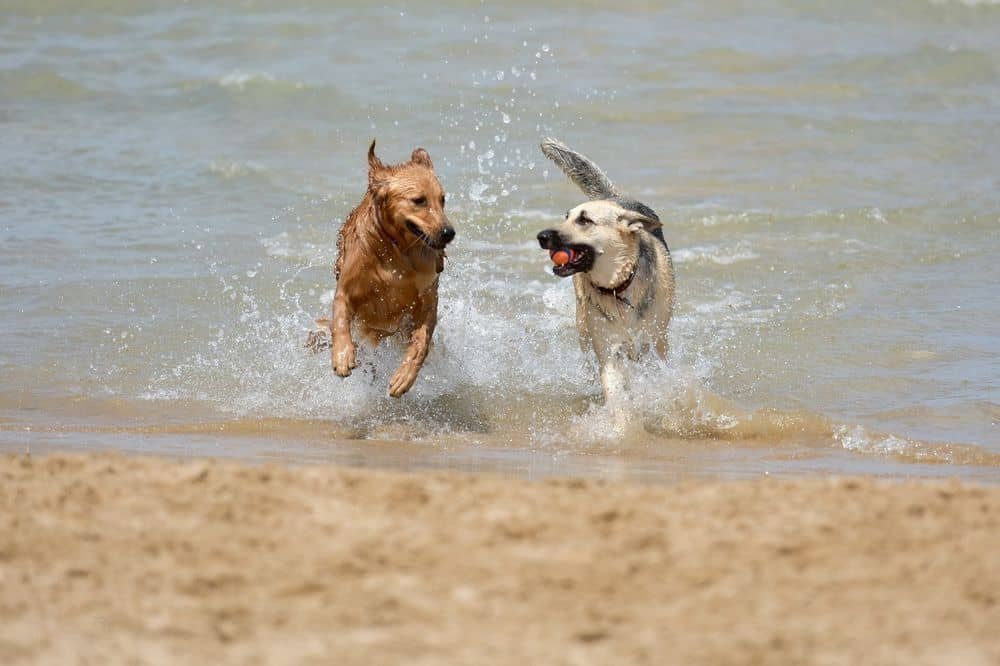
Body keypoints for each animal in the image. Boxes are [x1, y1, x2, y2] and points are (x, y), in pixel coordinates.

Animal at [308, 139, 458, 394]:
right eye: (419, 200)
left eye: (442, 199)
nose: (449, 232)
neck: (397, 252)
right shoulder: (346, 288)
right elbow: (340, 318)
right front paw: (342, 356)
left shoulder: (428, 298)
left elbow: (421, 341)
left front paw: (405, 376)